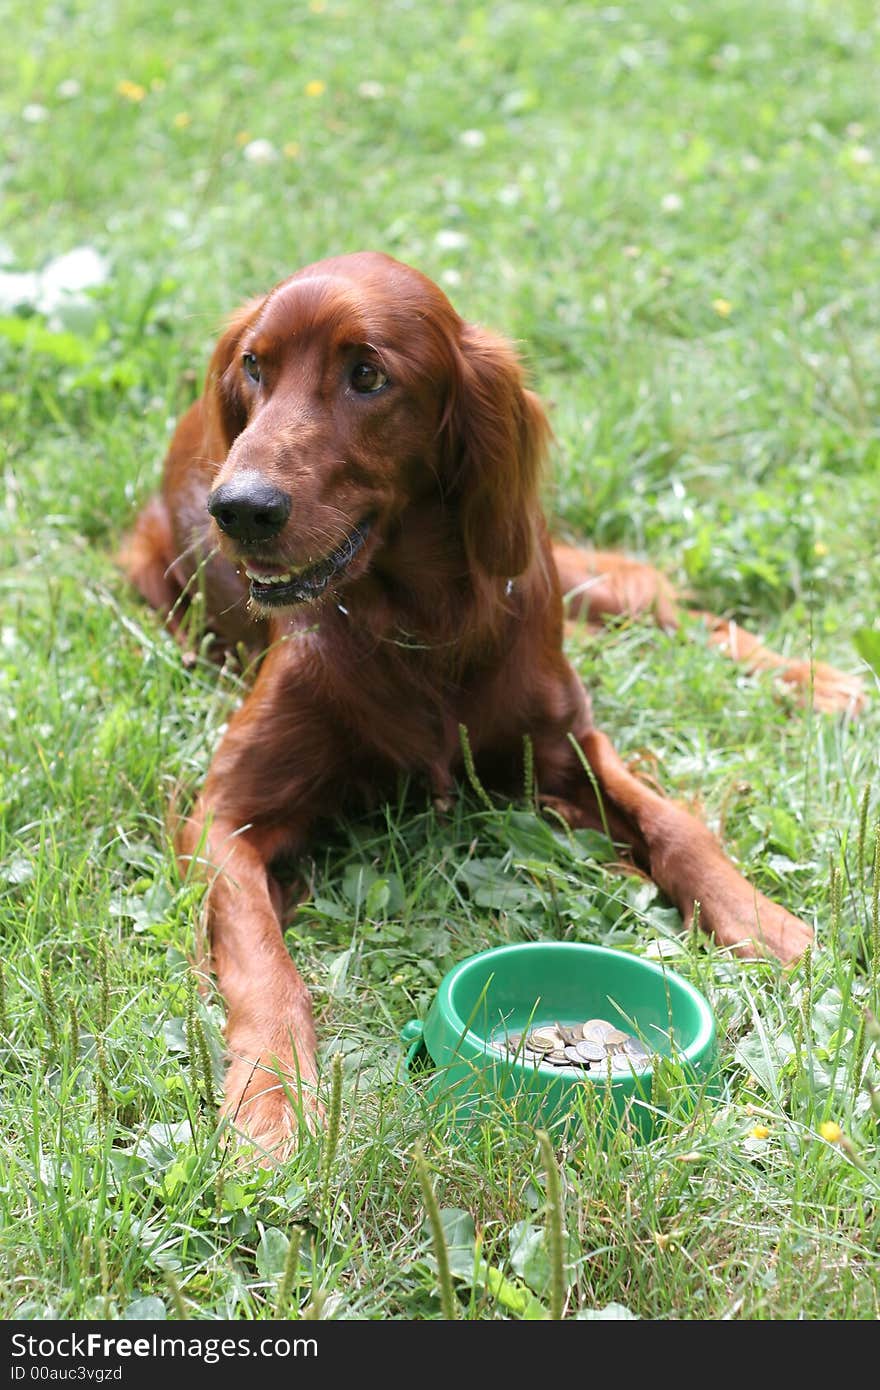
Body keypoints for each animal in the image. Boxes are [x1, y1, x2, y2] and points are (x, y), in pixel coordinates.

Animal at [120, 250, 861, 1150]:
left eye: (367, 375)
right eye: (256, 366)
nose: (239, 509)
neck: (418, 624)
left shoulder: (568, 742)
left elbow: (676, 825)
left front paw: (768, 924)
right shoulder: (224, 816)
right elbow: (263, 958)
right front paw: (272, 1101)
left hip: (548, 555)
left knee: (658, 601)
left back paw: (820, 682)